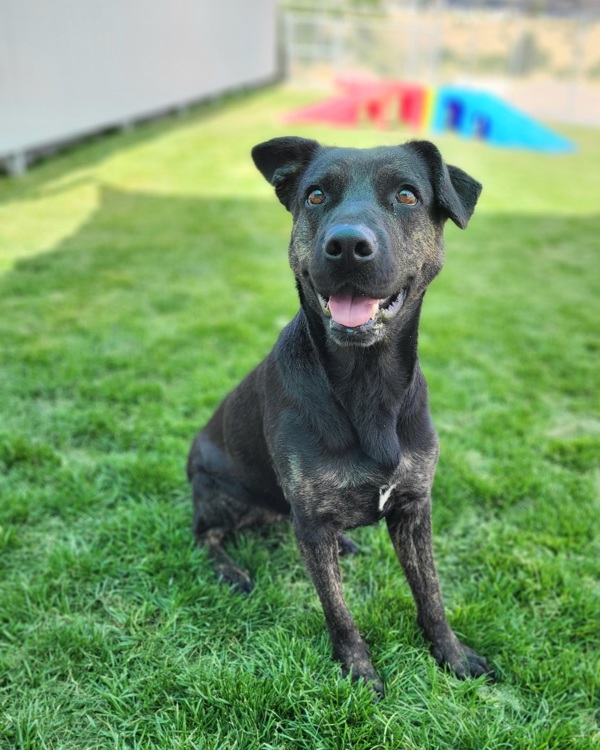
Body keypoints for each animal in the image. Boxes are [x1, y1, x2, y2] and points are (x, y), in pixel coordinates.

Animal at [188, 138, 492, 696]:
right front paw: (358, 669)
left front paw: (453, 655)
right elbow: (339, 611)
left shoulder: (414, 508)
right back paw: (231, 571)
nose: (348, 245)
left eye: (407, 195)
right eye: (315, 195)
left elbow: (431, 594)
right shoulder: (310, 523)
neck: (367, 383)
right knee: (206, 535)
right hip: (219, 492)